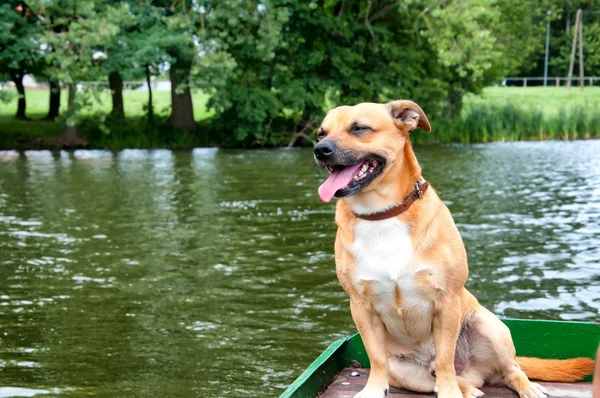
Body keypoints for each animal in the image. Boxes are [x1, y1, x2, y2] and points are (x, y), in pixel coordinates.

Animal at [314, 99, 596, 398]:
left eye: (359, 128)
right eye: (321, 133)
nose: (320, 150)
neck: (382, 214)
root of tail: (475, 370)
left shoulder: (447, 302)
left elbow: (445, 358)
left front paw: (449, 391)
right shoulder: (361, 308)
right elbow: (377, 359)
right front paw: (374, 390)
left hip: (489, 326)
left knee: (509, 370)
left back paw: (524, 388)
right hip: (404, 371)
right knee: (449, 379)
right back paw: (468, 388)